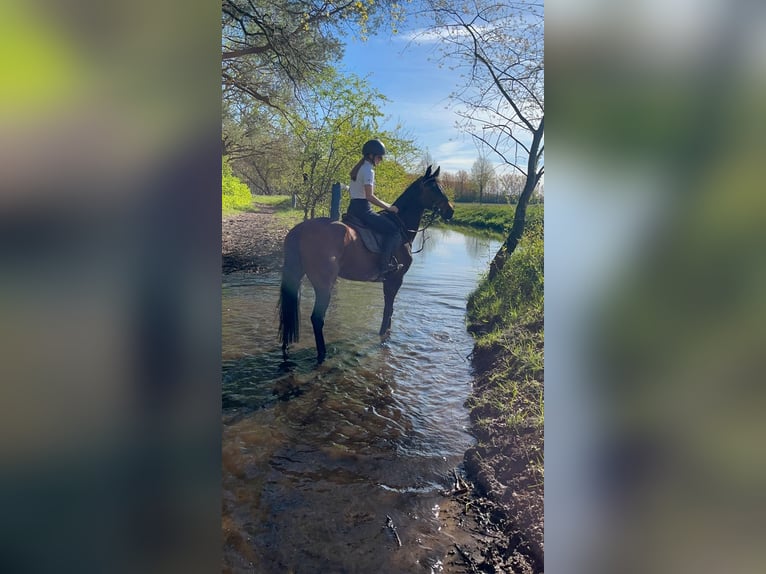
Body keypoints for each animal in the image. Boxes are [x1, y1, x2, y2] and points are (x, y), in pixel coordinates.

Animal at [278, 165, 454, 364]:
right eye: (434, 188)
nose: (450, 211)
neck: (401, 226)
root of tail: (300, 229)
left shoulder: (389, 281)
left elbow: (388, 309)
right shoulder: (395, 279)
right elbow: (388, 310)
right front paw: (384, 336)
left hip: (296, 275)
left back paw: (286, 346)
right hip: (324, 284)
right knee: (317, 318)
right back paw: (322, 354)